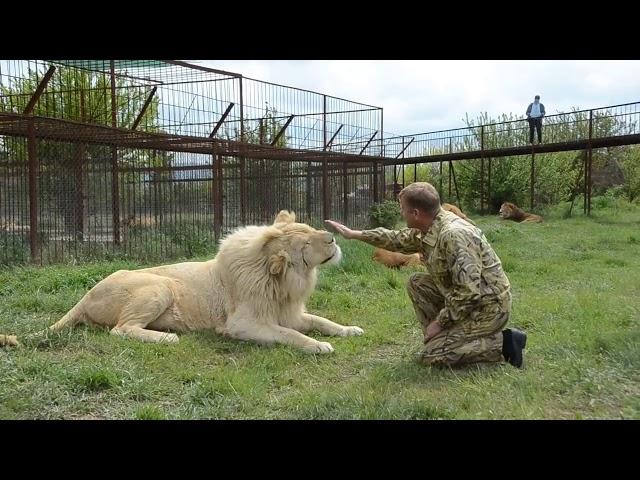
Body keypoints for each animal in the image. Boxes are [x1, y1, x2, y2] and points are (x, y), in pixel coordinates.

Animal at [0, 212, 362, 354]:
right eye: (306, 244)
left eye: (309, 228)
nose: (332, 237)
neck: (283, 283)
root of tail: (86, 294)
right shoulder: (243, 324)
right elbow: (291, 335)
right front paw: (318, 346)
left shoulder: (290, 312)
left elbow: (321, 321)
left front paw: (350, 330)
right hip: (160, 286)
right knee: (121, 330)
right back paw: (167, 338)